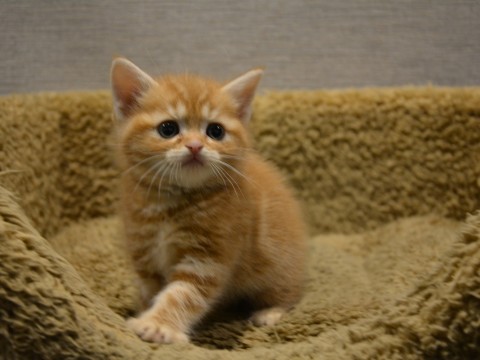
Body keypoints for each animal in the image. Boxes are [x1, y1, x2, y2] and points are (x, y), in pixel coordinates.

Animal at [110, 57, 306, 344]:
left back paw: (271, 312)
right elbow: (151, 292)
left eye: (215, 131)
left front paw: (158, 325)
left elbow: (182, 295)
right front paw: (146, 313)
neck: (172, 203)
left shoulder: (206, 259)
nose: (195, 146)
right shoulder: (143, 254)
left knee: (289, 292)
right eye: (168, 129)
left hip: (279, 265)